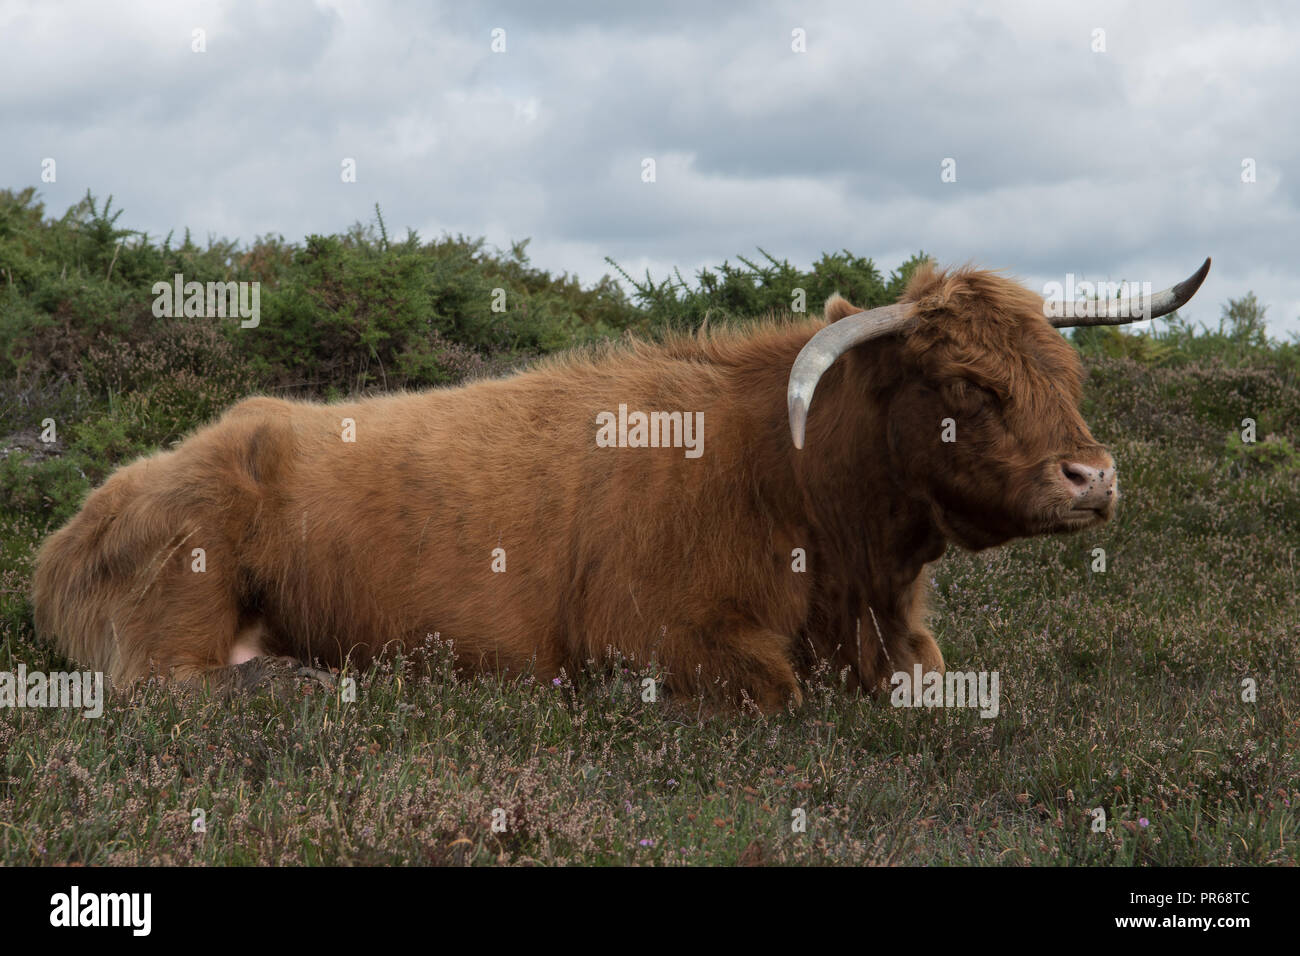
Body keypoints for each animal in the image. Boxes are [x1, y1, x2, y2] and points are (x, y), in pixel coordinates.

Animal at [30, 258, 1211, 710]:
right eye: (968, 382)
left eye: (1067, 373)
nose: (1091, 477)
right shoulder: (650, 639)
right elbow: (776, 691)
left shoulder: (903, 640)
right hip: (183, 602)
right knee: (176, 684)